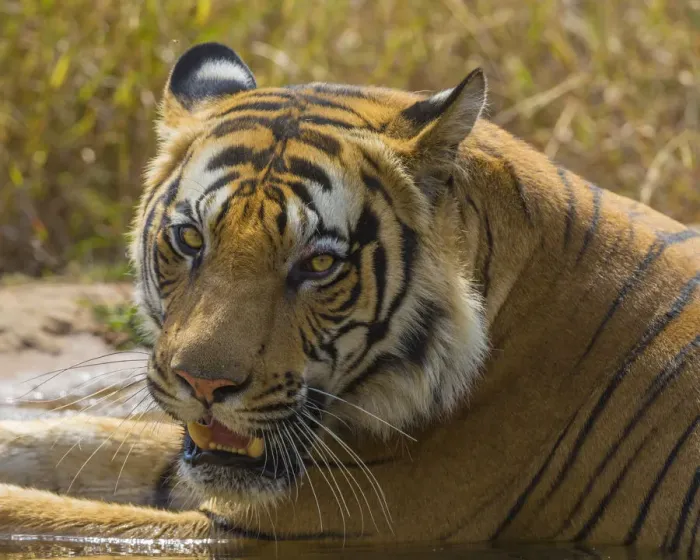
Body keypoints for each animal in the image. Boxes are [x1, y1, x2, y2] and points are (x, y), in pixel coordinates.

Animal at [0, 41, 698, 557]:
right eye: (191, 238)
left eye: (319, 263)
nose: (203, 385)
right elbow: (83, 439)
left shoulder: (293, 523)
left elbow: (49, 515)